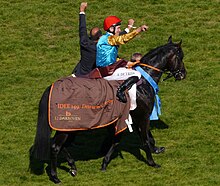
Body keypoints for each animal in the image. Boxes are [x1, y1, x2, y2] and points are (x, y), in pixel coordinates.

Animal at [29, 36, 186, 183]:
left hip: (70, 128)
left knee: (61, 146)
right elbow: (144, 139)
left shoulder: (131, 118)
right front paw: (152, 162)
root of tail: (52, 88)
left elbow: (121, 140)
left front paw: (105, 162)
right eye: (181, 57)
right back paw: (55, 177)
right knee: (55, 147)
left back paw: (73, 167)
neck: (143, 82)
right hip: (66, 126)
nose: (183, 74)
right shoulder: (143, 116)